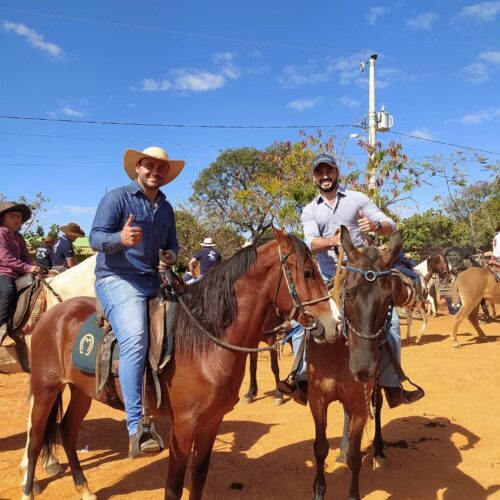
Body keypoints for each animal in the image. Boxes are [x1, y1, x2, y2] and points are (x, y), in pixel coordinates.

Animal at [21, 229, 338, 500]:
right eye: (307, 273)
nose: (334, 323)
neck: (206, 342)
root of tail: (52, 313)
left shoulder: (211, 422)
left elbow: (198, 476)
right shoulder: (183, 427)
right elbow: (173, 486)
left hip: (81, 391)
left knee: (66, 432)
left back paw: (84, 488)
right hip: (45, 389)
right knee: (36, 439)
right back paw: (29, 490)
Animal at [306, 227, 400, 500]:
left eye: (389, 298)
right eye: (348, 293)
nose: (362, 368)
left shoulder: (360, 404)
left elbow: (356, 458)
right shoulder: (317, 400)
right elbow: (320, 448)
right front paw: (319, 491)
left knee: (378, 408)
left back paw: (378, 450)